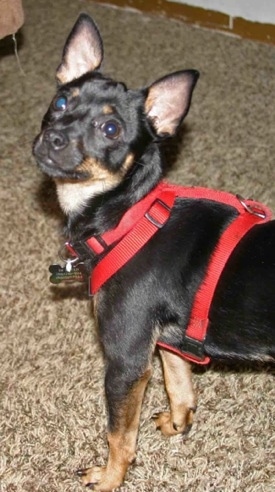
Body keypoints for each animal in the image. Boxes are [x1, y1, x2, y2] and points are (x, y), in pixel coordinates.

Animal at [33, 13, 275, 490]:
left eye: (110, 129)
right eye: (62, 102)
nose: (53, 138)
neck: (129, 215)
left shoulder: (126, 361)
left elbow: (119, 434)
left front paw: (110, 477)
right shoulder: (165, 341)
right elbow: (179, 379)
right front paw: (179, 422)